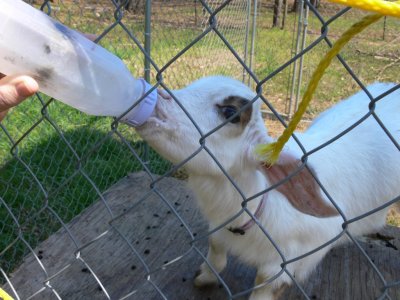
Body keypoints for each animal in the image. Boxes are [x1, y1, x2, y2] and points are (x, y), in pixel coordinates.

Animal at [137, 76, 400, 298]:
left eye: (230, 112)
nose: (152, 96)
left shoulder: (285, 264)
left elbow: (264, 285)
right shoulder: (220, 228)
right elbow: (216, 248)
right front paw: (204, 277)